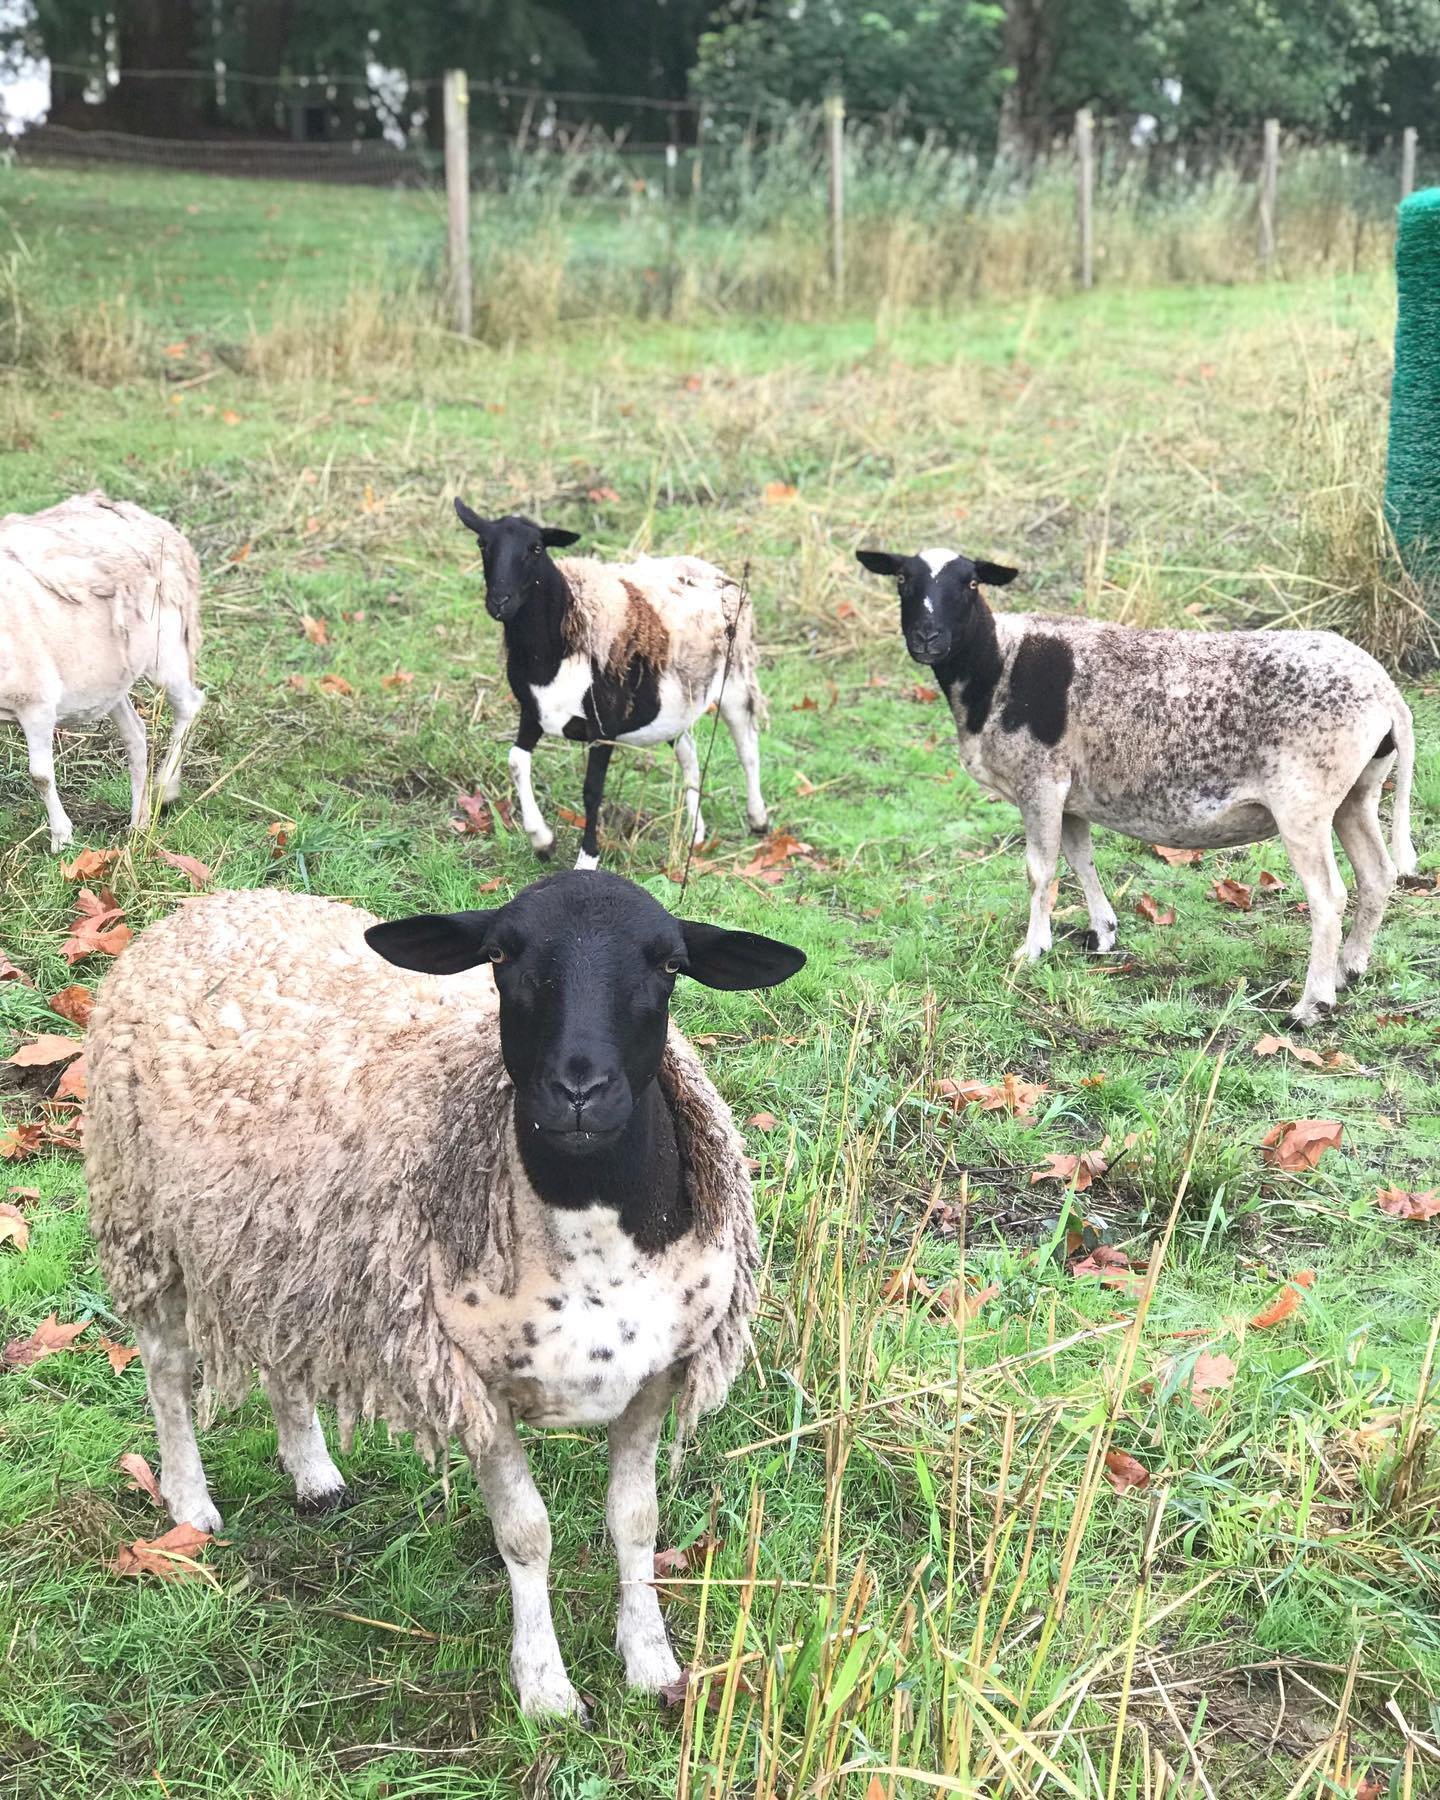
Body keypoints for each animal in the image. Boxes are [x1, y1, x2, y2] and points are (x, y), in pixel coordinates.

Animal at [0, 491, 204, 852]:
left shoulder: (36, 702)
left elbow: (40, 776)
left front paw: (62, 839)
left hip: (166, 650)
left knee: (190, 705)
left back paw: (166, 788)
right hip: (110, 677)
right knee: (136, 733)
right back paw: (139, 821)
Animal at [85, 870, 805, 1718]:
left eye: (670, 964)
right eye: (498, 954)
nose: (578, 1090)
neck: (590, 1230)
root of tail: (211, 903)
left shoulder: (656, 1376)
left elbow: (635, 1522)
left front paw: (651, 1663)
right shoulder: (476, 1385)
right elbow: (527, 1534)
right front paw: (547, 1691)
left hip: (285, 1247)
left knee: (283, 1356)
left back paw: (314, 1475)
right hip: (145, 1225)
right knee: (166, 1373)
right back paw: (189, 1504)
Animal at [453, 500, 769, 870]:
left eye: (536, 548)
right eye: (482, 544)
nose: (499, 602)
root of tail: (710, 569)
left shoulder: (603, 726)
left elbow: (592, 791)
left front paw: (586, 859)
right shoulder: (533, 712)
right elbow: (517, 761)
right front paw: (542, 841)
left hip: (735, 679)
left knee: (747, 747)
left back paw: (758, 819)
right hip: (674, 705)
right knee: (689, 755)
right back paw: (695, 833)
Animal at [856, 546, 1419, 1023]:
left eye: (970, 583)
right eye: (903, 579)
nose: (928, 638)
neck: (997, 665)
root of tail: (1387, 694)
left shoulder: (1040, 782)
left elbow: (1040, 871)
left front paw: (1032, 950)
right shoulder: (1071, 794)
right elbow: (1080, 859)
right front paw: (1103, 934)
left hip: (1305, 801)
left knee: (1329, 897)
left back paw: (1310, 1005)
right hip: (1357, 793)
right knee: (1378, 875)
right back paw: (1350, 969)